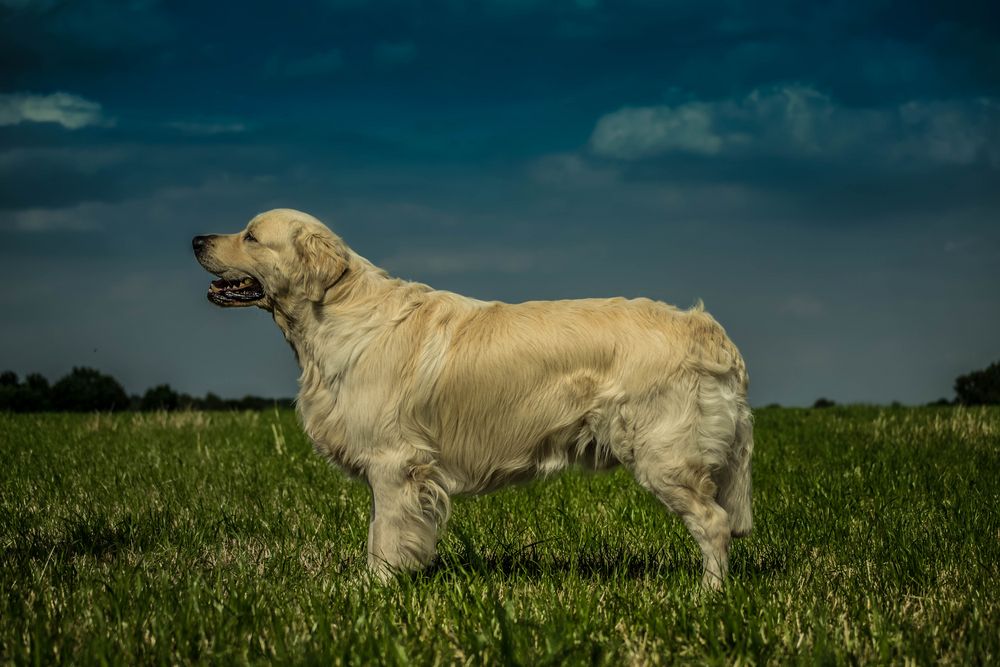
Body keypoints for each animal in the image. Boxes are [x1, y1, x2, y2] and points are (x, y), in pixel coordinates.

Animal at [191, 209, 752, 588]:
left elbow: (384, 535)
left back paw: (706, 594)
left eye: (251, 235)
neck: (335, 311)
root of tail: (710, 331)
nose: (196, 238)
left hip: (664, 454)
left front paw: (374, 589)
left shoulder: (394, 462)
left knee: (714, 522)